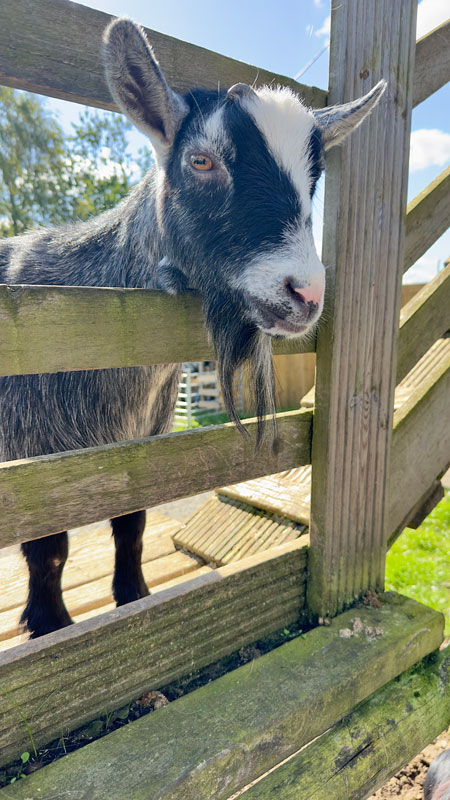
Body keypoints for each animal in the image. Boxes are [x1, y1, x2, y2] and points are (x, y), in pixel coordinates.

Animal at [0, 18, 386, 638]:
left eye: (315, 177)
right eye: (202, 161)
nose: (306, 293)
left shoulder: (143, 447)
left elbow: (132, 522)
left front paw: (133, 597)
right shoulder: (27, 461)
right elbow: (47, 548)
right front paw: (50, 625)